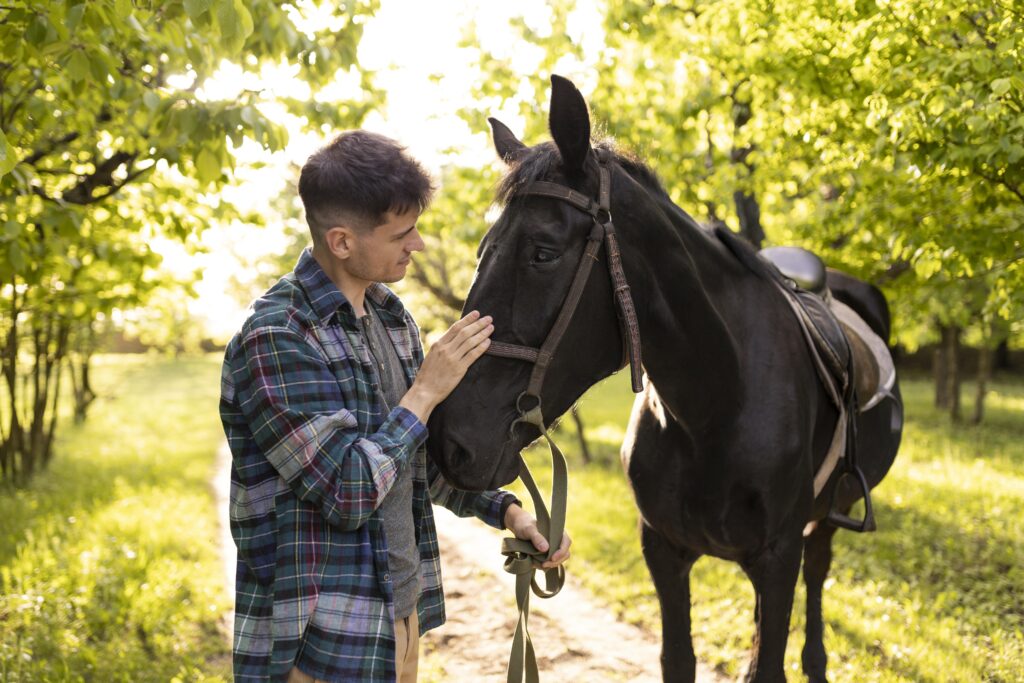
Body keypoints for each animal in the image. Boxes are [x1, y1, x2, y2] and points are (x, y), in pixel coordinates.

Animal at [428, 76, 901, 683]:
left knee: (818, 573)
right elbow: (681, 658)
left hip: (821, 522)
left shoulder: (777, 557)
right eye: (483, 250)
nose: (449, 440)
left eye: (543, 253)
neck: (718, 404)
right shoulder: (663, 552)